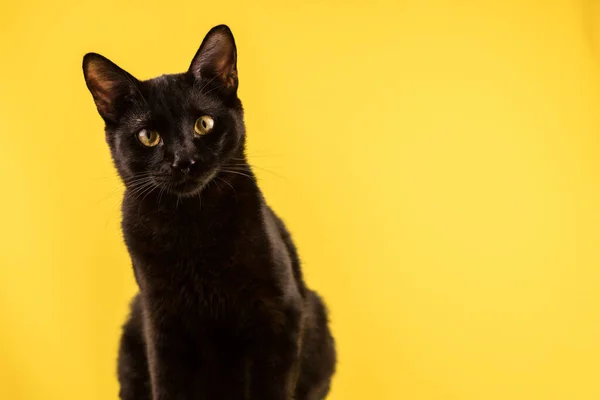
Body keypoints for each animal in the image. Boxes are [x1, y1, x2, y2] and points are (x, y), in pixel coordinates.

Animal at [82, 25, 338, 400]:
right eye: (148, 136)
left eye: (204, 124)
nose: (184, 160)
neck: (192, 225)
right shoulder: (161, 326)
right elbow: (168, 386)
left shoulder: (280, 315)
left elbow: (271, 387)